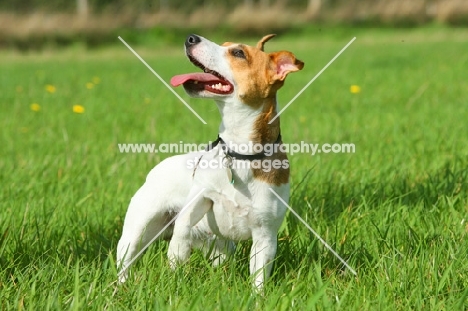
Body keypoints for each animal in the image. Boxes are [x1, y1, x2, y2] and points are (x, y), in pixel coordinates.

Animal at [117, 34, 304, 290]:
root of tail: (157, 169)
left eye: (238, 53)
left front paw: (257, 296)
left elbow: (258, 275)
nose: (191, 37)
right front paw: (176, 262)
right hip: (137, 230)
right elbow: (182, 233)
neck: (239, 154)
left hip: (221, 248)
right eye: (225, 44)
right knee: (126, 261)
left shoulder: (265, 233)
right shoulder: (199, 198)